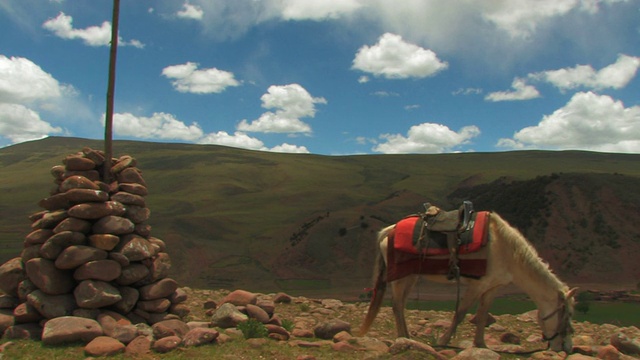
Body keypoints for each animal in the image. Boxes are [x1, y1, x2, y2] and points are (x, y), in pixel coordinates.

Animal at [358, 210, 576, 352]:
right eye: (566, 315)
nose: (566, 348)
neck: (506, 250)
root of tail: (389, 231)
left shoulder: (492, 287)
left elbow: (482, 314)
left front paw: (481, 344)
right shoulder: (477, 285)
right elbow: (461, 313)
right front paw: (444, 341)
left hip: (410, 277)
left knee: (401, 304)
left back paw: (408, 338)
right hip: (400, 277)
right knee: (396, 305)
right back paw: (403, 337)